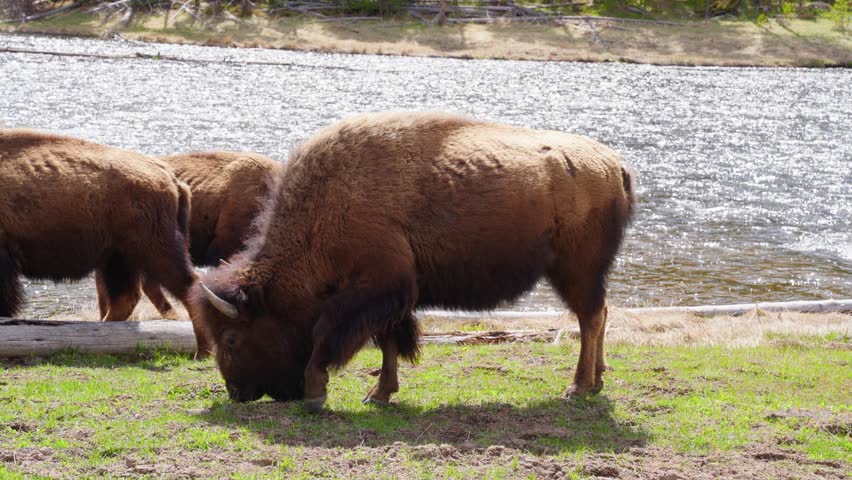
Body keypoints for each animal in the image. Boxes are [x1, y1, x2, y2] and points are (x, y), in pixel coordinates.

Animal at [0, 130, 209, 353]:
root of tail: (172, 179)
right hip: (118, 258)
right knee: (126, 297)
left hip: (153, 251)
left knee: (188, 285)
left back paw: (202, 352)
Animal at [192, 112, 636, 410]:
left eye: (231, 338)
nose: (237, 394)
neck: (324, 208)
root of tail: (613, 164)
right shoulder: (391, 294)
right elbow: (389, 339)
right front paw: (379, 394)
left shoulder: (374, 289)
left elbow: (327, 334)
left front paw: (317, 392)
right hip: (580, 273)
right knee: (599, 315)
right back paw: (596, 382)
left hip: (575, 269)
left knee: (589, 318)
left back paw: (577, 388)